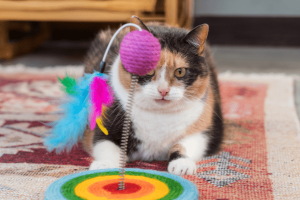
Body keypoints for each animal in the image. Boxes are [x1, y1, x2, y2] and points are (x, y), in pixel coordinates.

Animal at [82, 16, 223, 175]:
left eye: (180, 71)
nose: (163, 90)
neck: (158, 116)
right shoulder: (103, 125)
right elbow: (105, 145)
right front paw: (105, 164)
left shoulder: (203, 129)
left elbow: (185, 144)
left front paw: (182, 163)